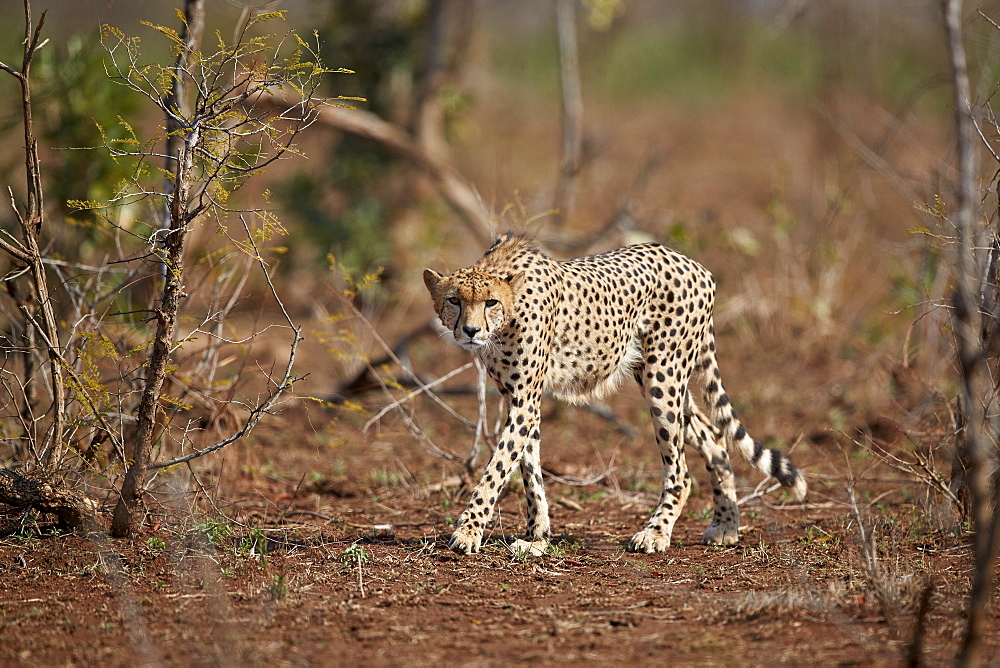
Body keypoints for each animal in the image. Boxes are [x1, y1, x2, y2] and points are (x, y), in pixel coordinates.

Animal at [422, 232, 804, 556]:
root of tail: (695, 265)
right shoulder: (518, 396)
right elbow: (529, 470)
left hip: (663, 376)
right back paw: (727, 526)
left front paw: (468, 532)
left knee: (680, 470)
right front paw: (537, 537)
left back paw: (656, 533)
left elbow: (498, 467)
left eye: (491, 302)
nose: (471, 331)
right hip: (656, 374)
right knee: (713, 436)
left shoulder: (525, 400)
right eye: (454, 300)